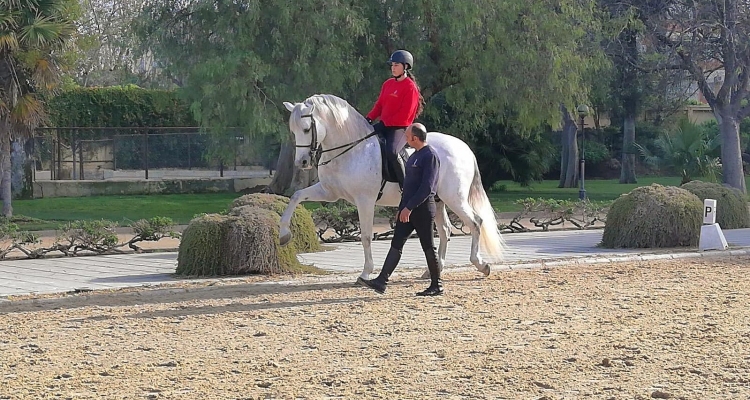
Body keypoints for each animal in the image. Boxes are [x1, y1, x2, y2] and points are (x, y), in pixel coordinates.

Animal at [280, 95, 508, 280]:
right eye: (292, 131)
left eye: (306, 129)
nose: (301, 162)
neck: (351, 149)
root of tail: (464, 148)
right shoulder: (329, 193)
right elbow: (296, 196)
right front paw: (284, 234)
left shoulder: (365, 200)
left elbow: (365, 236)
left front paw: (365, 272)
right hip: (438, 200)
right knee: (445, 230)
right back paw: (434, 270)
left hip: (455, 198)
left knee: (476, 222)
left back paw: (481, 265)